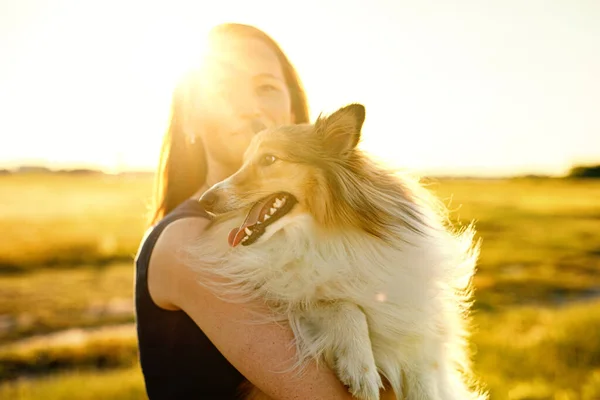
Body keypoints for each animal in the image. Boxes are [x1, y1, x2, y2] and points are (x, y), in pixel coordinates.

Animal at [188, 104, 488, 400]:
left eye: (269, 159)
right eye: (243, 161)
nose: (205, 201)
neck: (323, 235)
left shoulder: (421, 332)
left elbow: (423, 374)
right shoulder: (287, 296)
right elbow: (343, 304)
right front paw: (361, 368)